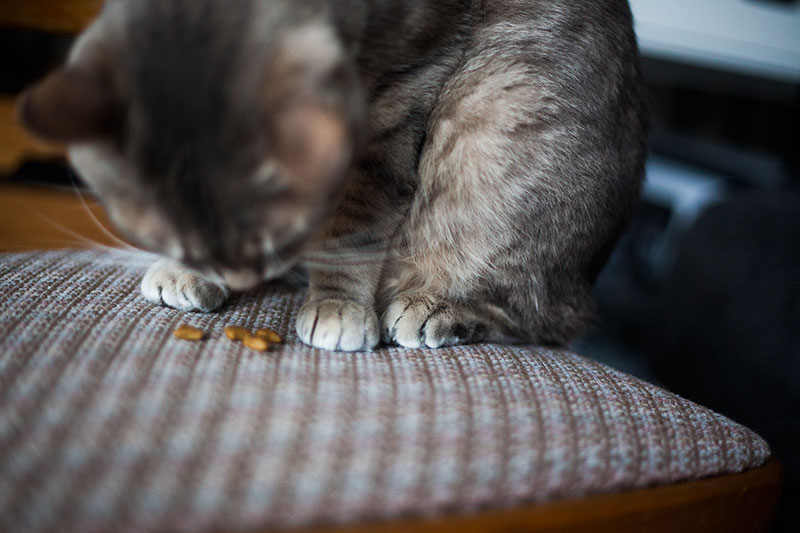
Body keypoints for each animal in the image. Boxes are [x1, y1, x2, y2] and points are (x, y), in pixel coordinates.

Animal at [18, 2, 648, 352]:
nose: (235, 268)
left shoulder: (397, 99)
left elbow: (353, 231)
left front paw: (340, 306)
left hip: (498, 121)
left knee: (539, 317)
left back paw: (440, 309)